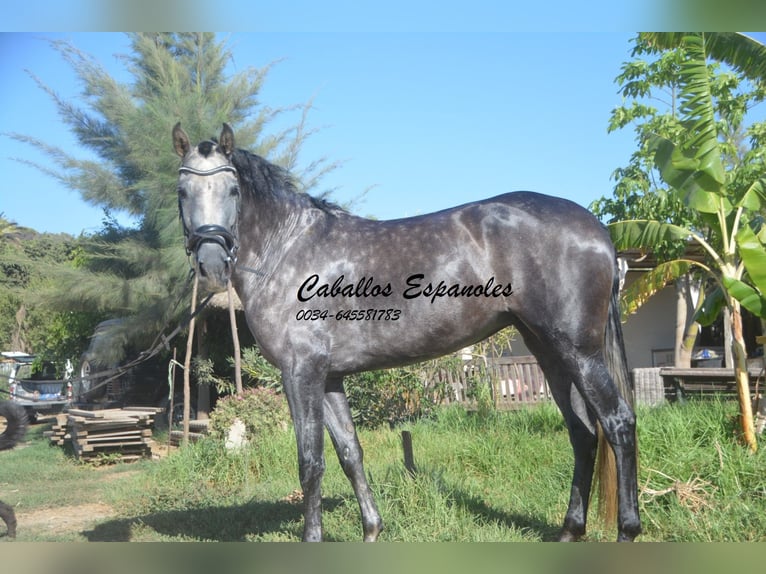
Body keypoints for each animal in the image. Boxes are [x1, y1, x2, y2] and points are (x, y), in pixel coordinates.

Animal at [174, 124, 640, 544]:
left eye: (233, 191)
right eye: (183, 192)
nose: (211, 265)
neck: (287, 249)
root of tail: (597, 230)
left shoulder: (300, 372)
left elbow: (311, 462)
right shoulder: (329, 377)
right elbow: (350, 453)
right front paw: (371, 530)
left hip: (579, 351)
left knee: (618, 423)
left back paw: (627, 531)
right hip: (548, 350)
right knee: (583, 433)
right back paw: (569, 531)